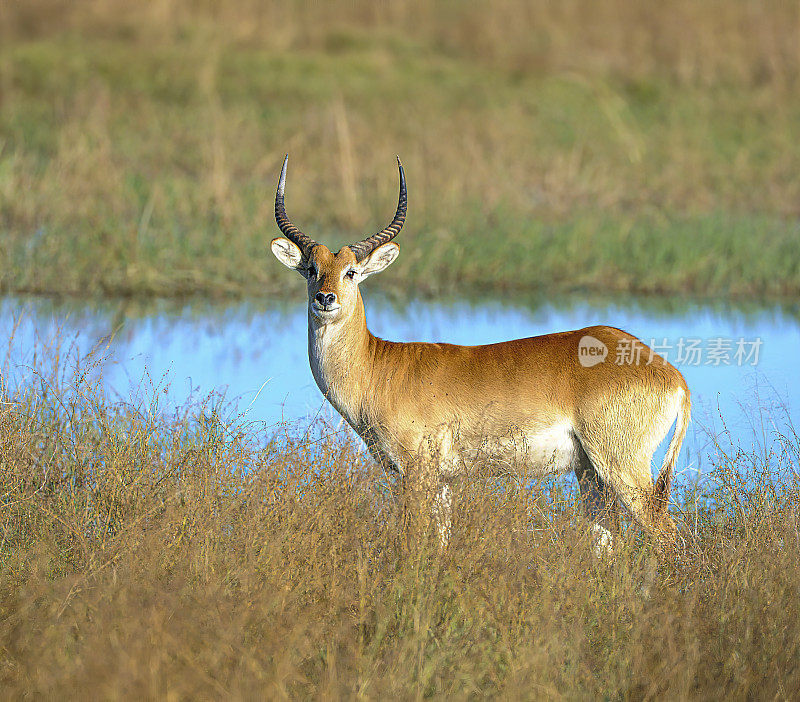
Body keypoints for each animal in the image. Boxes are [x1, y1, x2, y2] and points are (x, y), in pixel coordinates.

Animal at [268, 155, 688, 556]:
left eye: (351, 272)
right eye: (311, 269)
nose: (325, 299)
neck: (379, 367)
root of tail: (673, 377)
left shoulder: (415, 473)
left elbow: (413, 543)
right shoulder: (442, 482)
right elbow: (439, 544)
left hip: (622, 468)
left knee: (670, 536)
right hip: (592, 476)